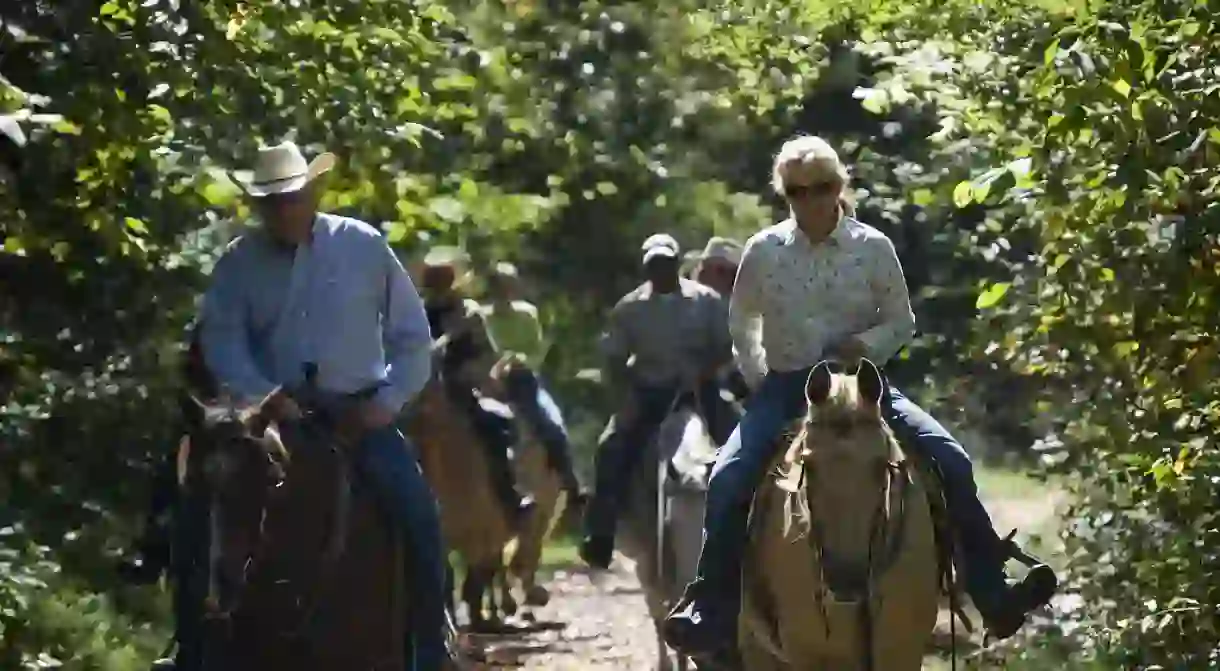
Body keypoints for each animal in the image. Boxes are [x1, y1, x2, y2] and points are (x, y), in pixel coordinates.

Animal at [736, 363, 936, 671]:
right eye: (808, 465)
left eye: (881, 465)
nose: (846, 579)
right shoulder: (807, 654)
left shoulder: (902, 651)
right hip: (757, 648)